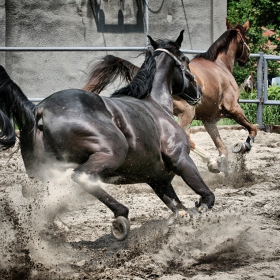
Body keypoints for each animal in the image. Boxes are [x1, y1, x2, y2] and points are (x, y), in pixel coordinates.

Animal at [0, 31, 214, 241]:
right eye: (185, 60)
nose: (198, 91)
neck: (156, 105)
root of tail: (38, 110)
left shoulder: (159, 180)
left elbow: (179, 208)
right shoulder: (181, 160)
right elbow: (207, 196)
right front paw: (201, 207)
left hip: (43, 171)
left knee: (36, 195)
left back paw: (56, 226)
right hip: (113, 153)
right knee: (82, 176)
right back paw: (120, 217)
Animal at [82, 18, 254, 175]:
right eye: (247, 38)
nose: (247, 59)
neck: (219, 65)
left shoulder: (209, 120)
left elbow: (222, 147)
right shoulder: (233, 108)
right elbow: (252, 129)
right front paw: (244, 147)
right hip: (187, 113)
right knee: (185, 137)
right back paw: (211, 162)